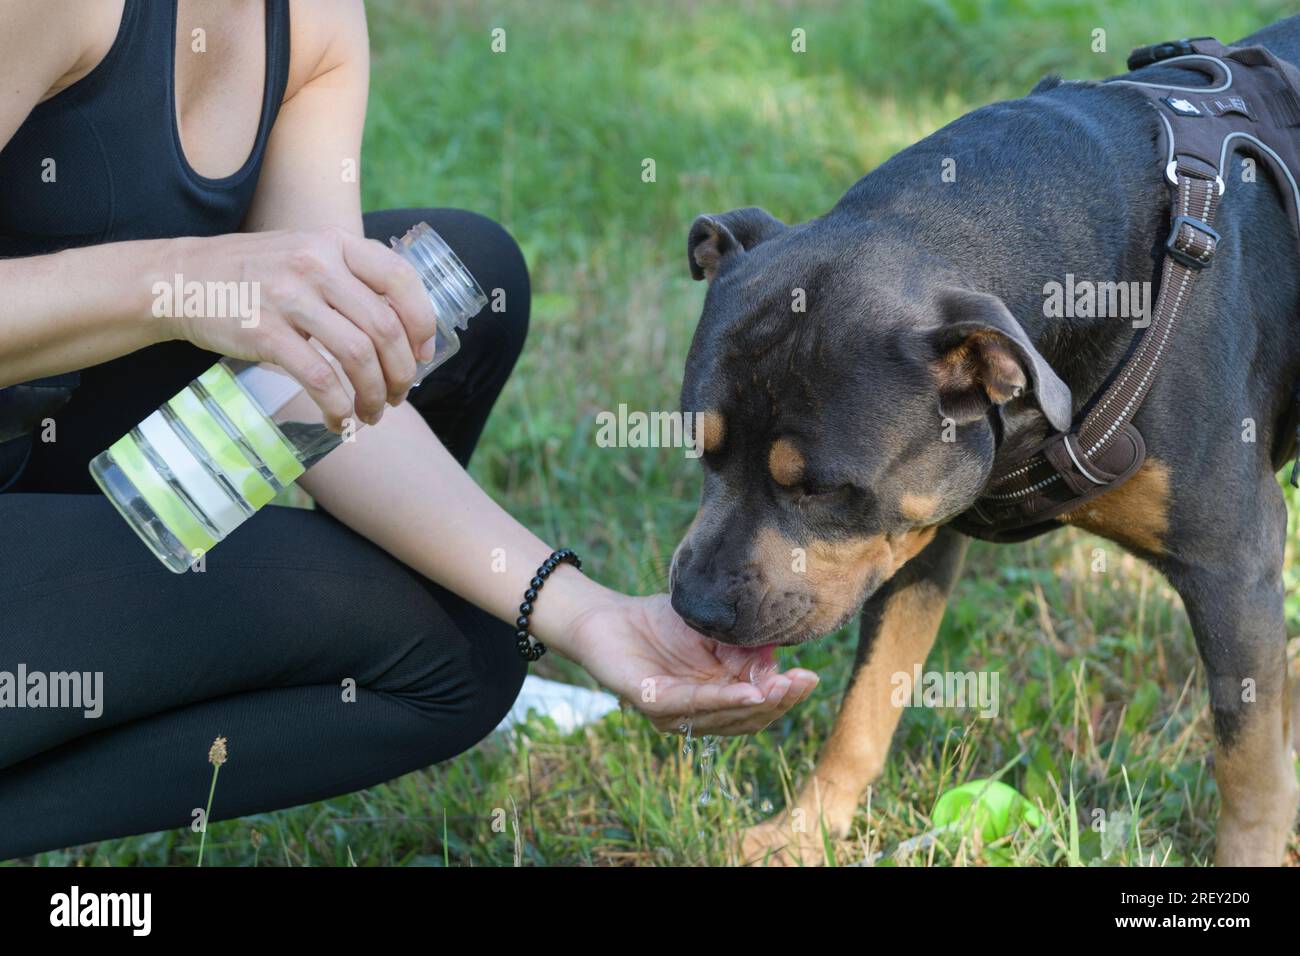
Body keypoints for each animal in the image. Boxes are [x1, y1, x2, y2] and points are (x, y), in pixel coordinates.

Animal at [670, 14, 1300, 868]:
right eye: (700, 450)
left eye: (822, 490)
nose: (693, 605)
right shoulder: (913, 538)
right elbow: (866, 703)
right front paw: (803, 832)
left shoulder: (1233, 565)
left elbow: (1248, 766)